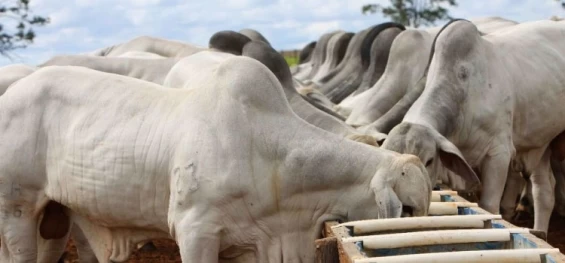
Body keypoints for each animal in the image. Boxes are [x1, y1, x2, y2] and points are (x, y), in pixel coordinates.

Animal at [382, 19, 564, 233]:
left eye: (429, 161)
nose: (406, 209)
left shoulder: (499, 154)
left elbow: (489, 207)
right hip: (540, 142)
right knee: (543, 192)